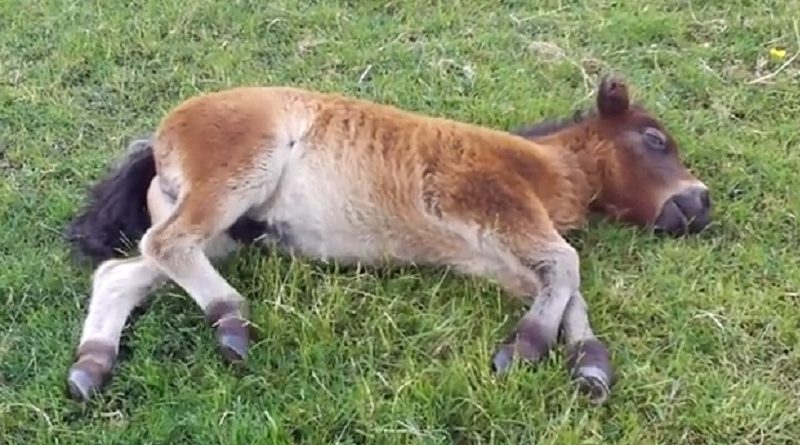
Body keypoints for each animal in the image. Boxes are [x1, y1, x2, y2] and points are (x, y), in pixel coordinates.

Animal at [64, 75, 712, 402]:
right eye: (655, 140)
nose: (701, 203)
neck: (543, 166)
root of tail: (160, 137)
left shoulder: (493, 255)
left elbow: (562, 285)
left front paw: (589, 364)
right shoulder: (489, 204)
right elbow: (568, 263)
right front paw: (525, 348)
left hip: (225, 232)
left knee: (122, 271)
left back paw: (91, 366)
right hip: (238, 176)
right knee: (164, 246)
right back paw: (230, 321)